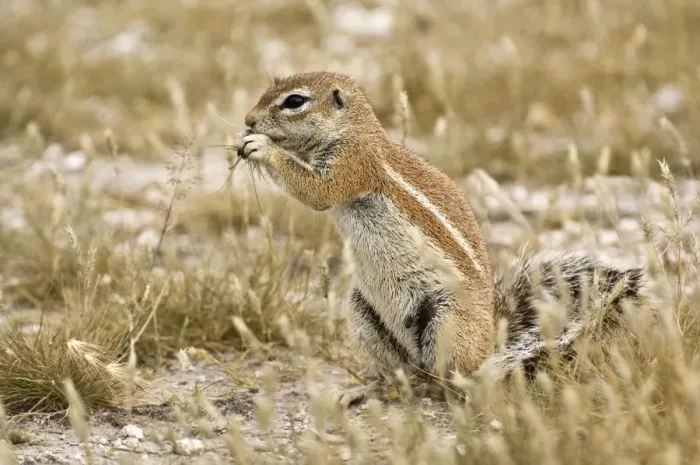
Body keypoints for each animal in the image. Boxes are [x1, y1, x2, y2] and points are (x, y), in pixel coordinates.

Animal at [234, 71, 645, 407]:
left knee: (454, 376)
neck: (353, 131)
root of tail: (491, 339)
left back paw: (460, 388)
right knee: (400, 374)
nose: (248, 120)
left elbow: (317, 191)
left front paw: (262, 147)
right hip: (362, 312)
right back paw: (366, 390)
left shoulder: (353, 164)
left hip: (447, 321)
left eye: (294, 101)